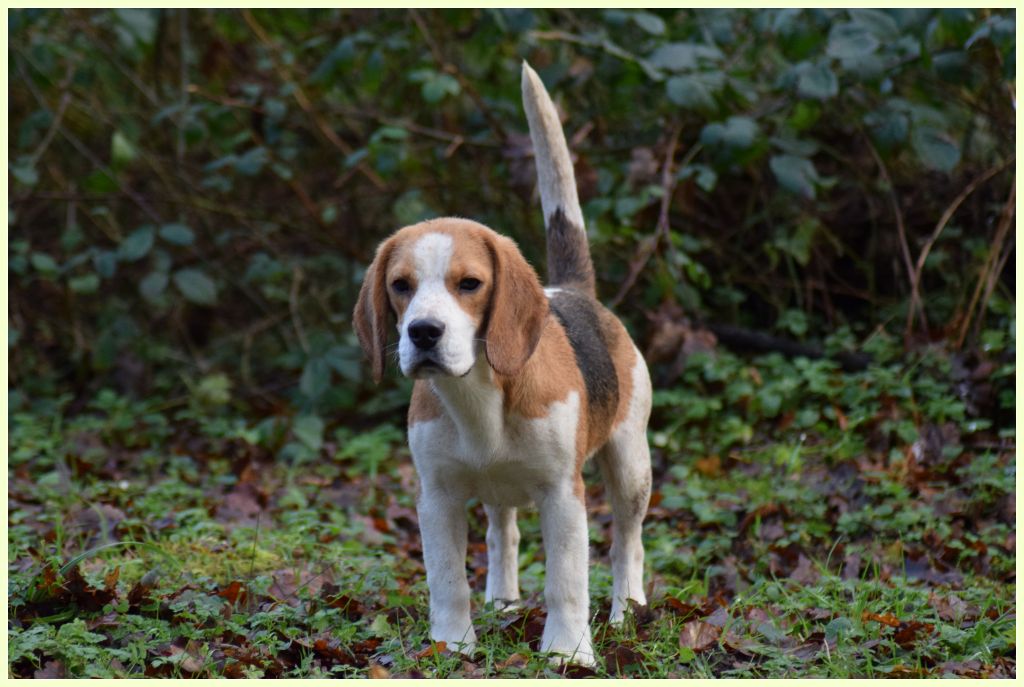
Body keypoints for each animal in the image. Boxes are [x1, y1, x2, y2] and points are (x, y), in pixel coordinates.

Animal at [356, 63, 651, 667]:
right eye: (400, 286)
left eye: (470, 284)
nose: (423, 332)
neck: (477, 394)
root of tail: (572, 290)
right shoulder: (437, 496)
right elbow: (448, 580)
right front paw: (451, 646)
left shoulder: (563, 496)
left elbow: (567, 582)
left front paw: (568, 653)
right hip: (495, 491)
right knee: (501, 534)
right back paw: (503, 602)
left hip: (631, 464)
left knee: (627, 544)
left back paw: (626, 611)